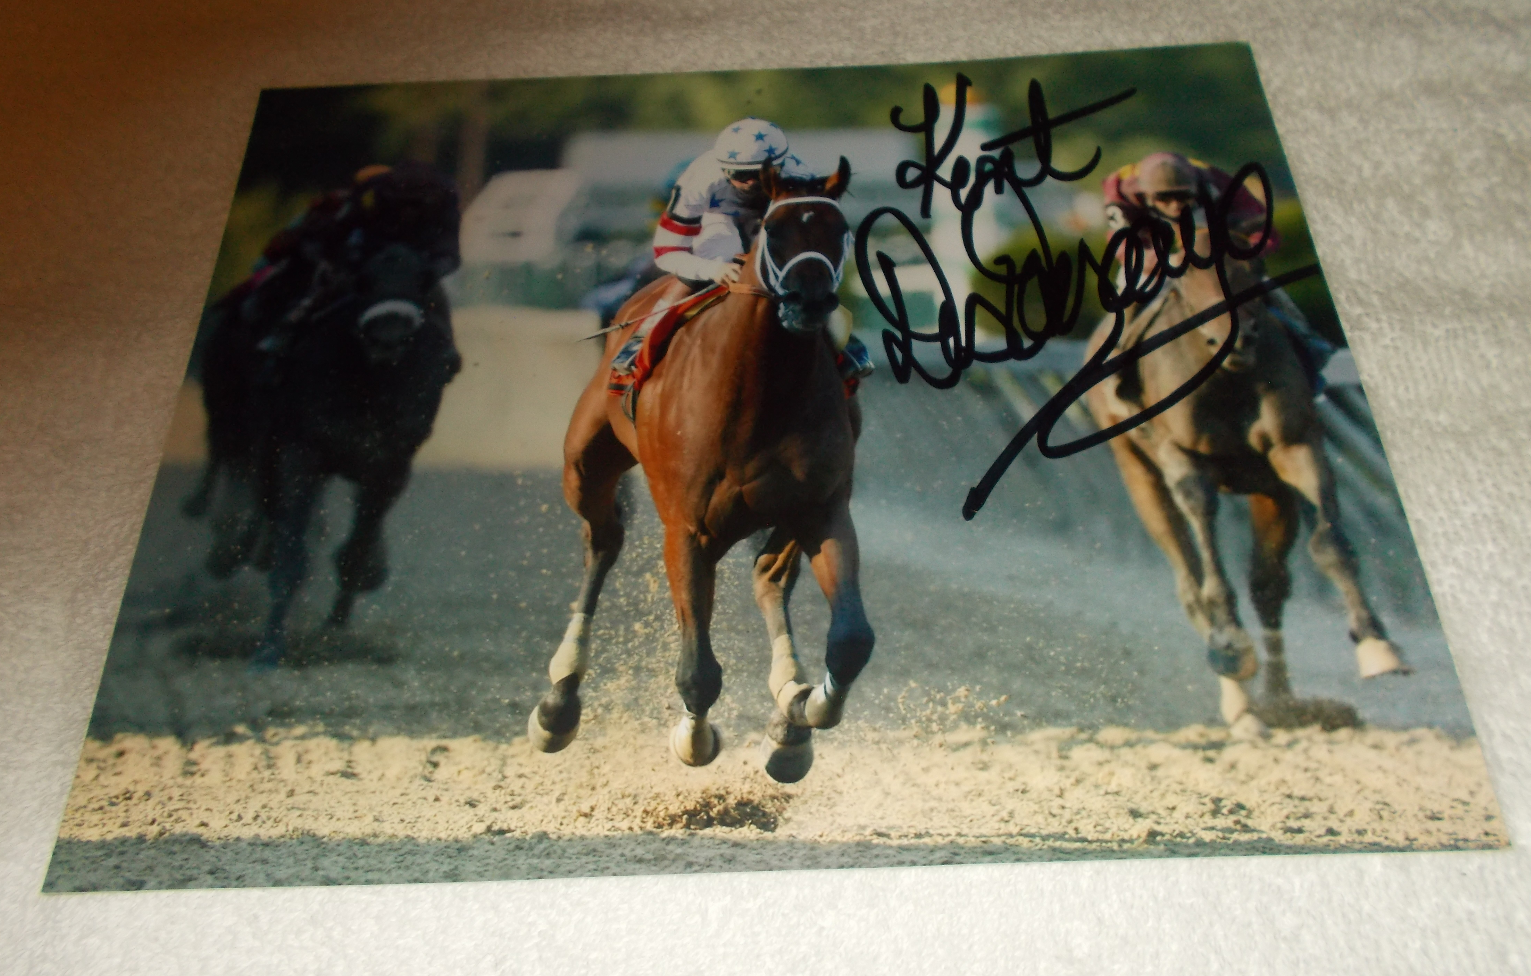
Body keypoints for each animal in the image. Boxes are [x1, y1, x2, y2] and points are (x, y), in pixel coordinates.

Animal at [187, 245, 459, 671]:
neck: (372, 388)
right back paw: (228, 544)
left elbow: (356, 553)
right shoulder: (302, 449)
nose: (389, 335)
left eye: (422, 282)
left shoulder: (390, 464)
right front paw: (268, 650)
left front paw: (337, 623)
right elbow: (291, 553)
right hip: (229, 411)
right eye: (362, 281)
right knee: (235, 468)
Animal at [523, 160, 875, 784]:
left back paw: (789, 707)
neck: (762, 390)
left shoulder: (823, 508)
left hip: (782, 519)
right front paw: (694, 737)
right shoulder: (687, 530)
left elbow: (852, 639)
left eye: (838, 230)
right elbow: (698, 670)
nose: (809, 300)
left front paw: (801, 716)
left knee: (769, 576)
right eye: (775, 229)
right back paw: (558, 702)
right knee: (602, 543)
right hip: (585, 466)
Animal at [1083, 240, 1402, 735]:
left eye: (1252, 261)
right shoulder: (1182, 456)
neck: (1225, 379)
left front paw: (1375, 644)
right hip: (1136, 472)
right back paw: (1241, 702)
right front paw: (1230, 645)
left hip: (1266, 491)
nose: (1235, 337)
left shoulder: (1293, 447)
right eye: (1188, 274)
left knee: (1268, 586)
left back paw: (1279, 700)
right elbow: (1204, 545)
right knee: (1189, 582)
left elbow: (1327, 544)